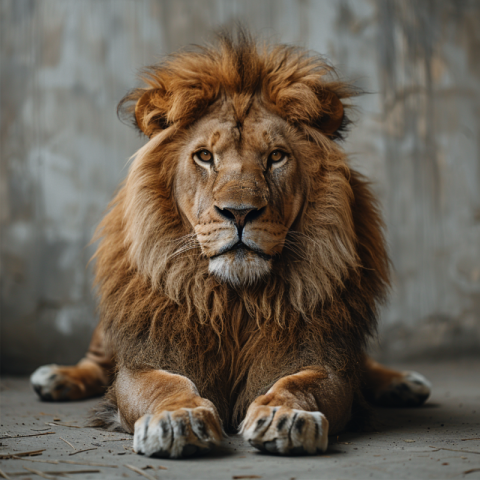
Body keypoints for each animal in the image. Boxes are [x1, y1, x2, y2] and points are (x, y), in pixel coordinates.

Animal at [31, 31, 434, 460]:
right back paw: (56, 377)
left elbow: (300, 383)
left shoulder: (324, 359)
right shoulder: (145, 360)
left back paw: (403, 383)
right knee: (97, 359)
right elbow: (165, 384)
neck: (235, 301)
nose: (240, 213)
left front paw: (284, 417)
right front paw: (179, 420)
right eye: (205, 156)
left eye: (276, 157)